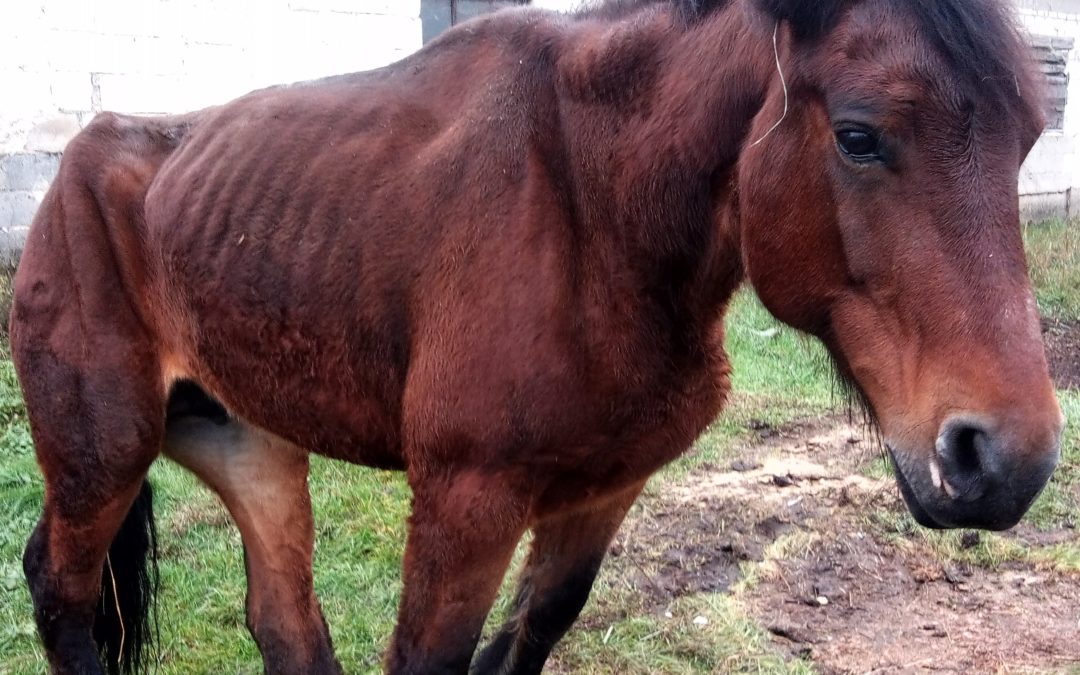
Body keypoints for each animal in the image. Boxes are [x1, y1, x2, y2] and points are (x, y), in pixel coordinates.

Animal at [12, 0, 1067, 669]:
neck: (593, 211)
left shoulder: (600, 492)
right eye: (858, 135)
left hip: (246, 445)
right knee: (61, 595)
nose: (1001, 460)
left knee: (283, 625)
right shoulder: (465, 503)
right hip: (101, 453)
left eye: (1027, 134)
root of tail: (80, 161)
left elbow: (526, 636)